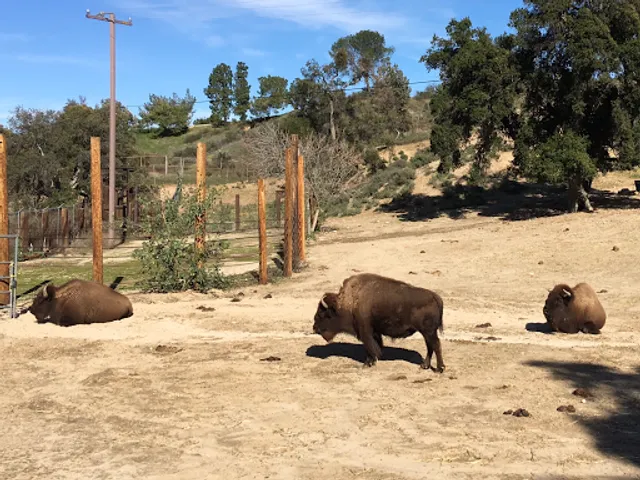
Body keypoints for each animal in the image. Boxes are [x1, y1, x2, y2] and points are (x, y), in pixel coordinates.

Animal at [313, 273, 445, 372]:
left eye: (322, 314)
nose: (315, 328)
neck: (348, 302)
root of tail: (435, 297)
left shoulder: (365, 332)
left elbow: (370, 347)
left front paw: (367, 364)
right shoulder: (375, 332)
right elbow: (375, 345)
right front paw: (371, 361)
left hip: (428, 332)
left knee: (435, 345)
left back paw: (439, 368)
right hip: (427, 333)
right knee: (430, 346)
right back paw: (425, 366)